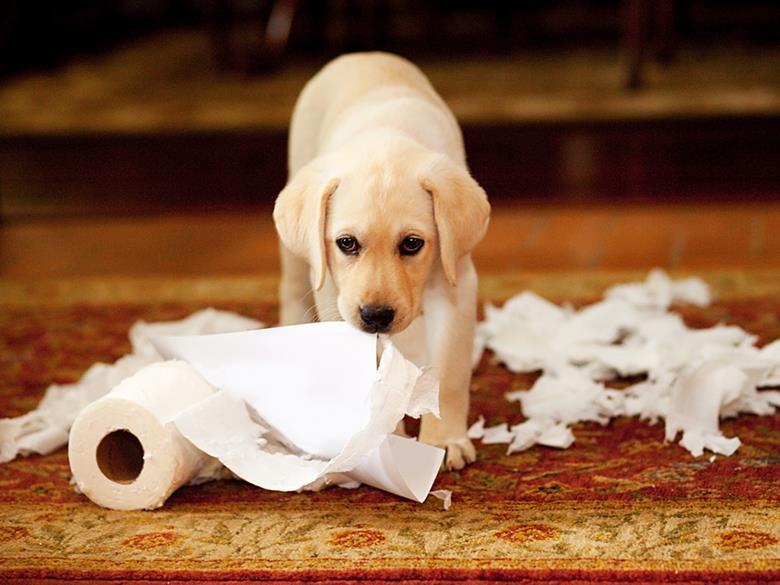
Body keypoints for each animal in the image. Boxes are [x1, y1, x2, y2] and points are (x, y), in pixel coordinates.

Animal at [274, 51, 490, 470]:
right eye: (346, 243)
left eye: (412, 244)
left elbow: (450, 371)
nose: (376, 316)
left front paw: (444, 440)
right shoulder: (335, 299)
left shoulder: (455, 285)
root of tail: (362, 55)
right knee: (291, 290)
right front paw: (383, 441)